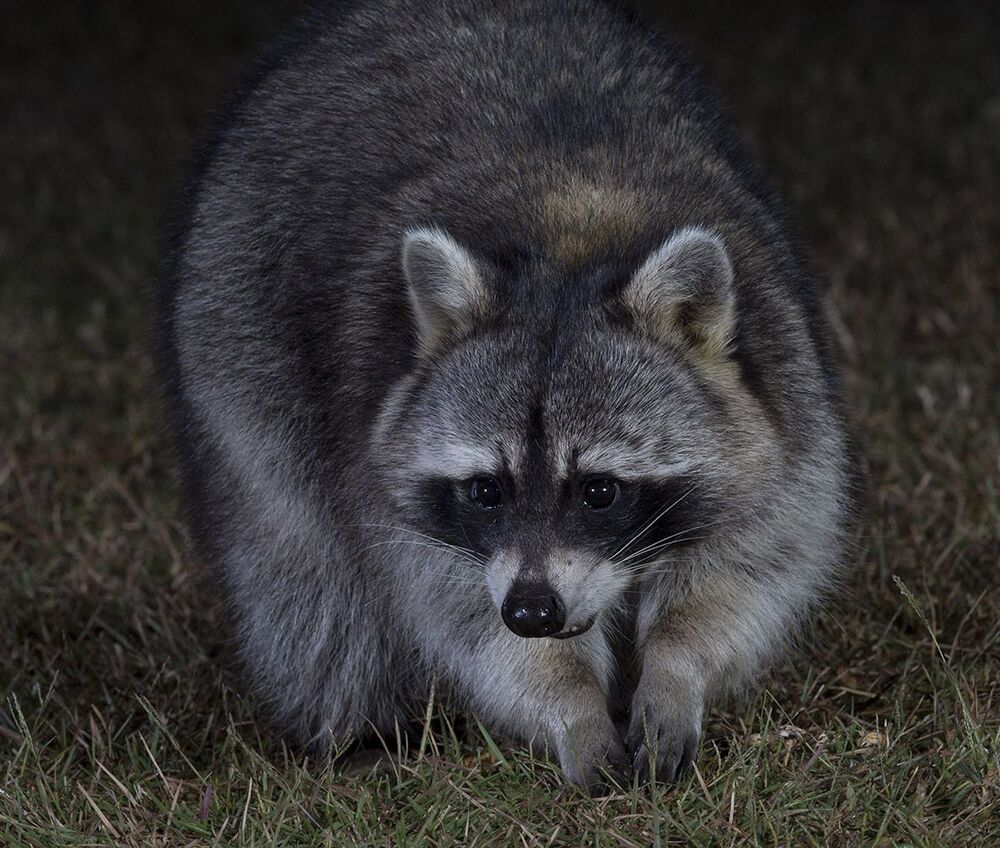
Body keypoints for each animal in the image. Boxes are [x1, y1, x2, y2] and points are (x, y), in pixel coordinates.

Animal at [156, 0, 854, 788]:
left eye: (600, 490)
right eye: (486, 489)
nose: (532, 612)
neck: (569, 232)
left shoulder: (786, 398)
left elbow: (747, 567)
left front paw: (677, 671)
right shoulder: (392, 481)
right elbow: (465, 620)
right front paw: (570, 703)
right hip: (234, 329)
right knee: (303, 568)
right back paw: (359, 723)